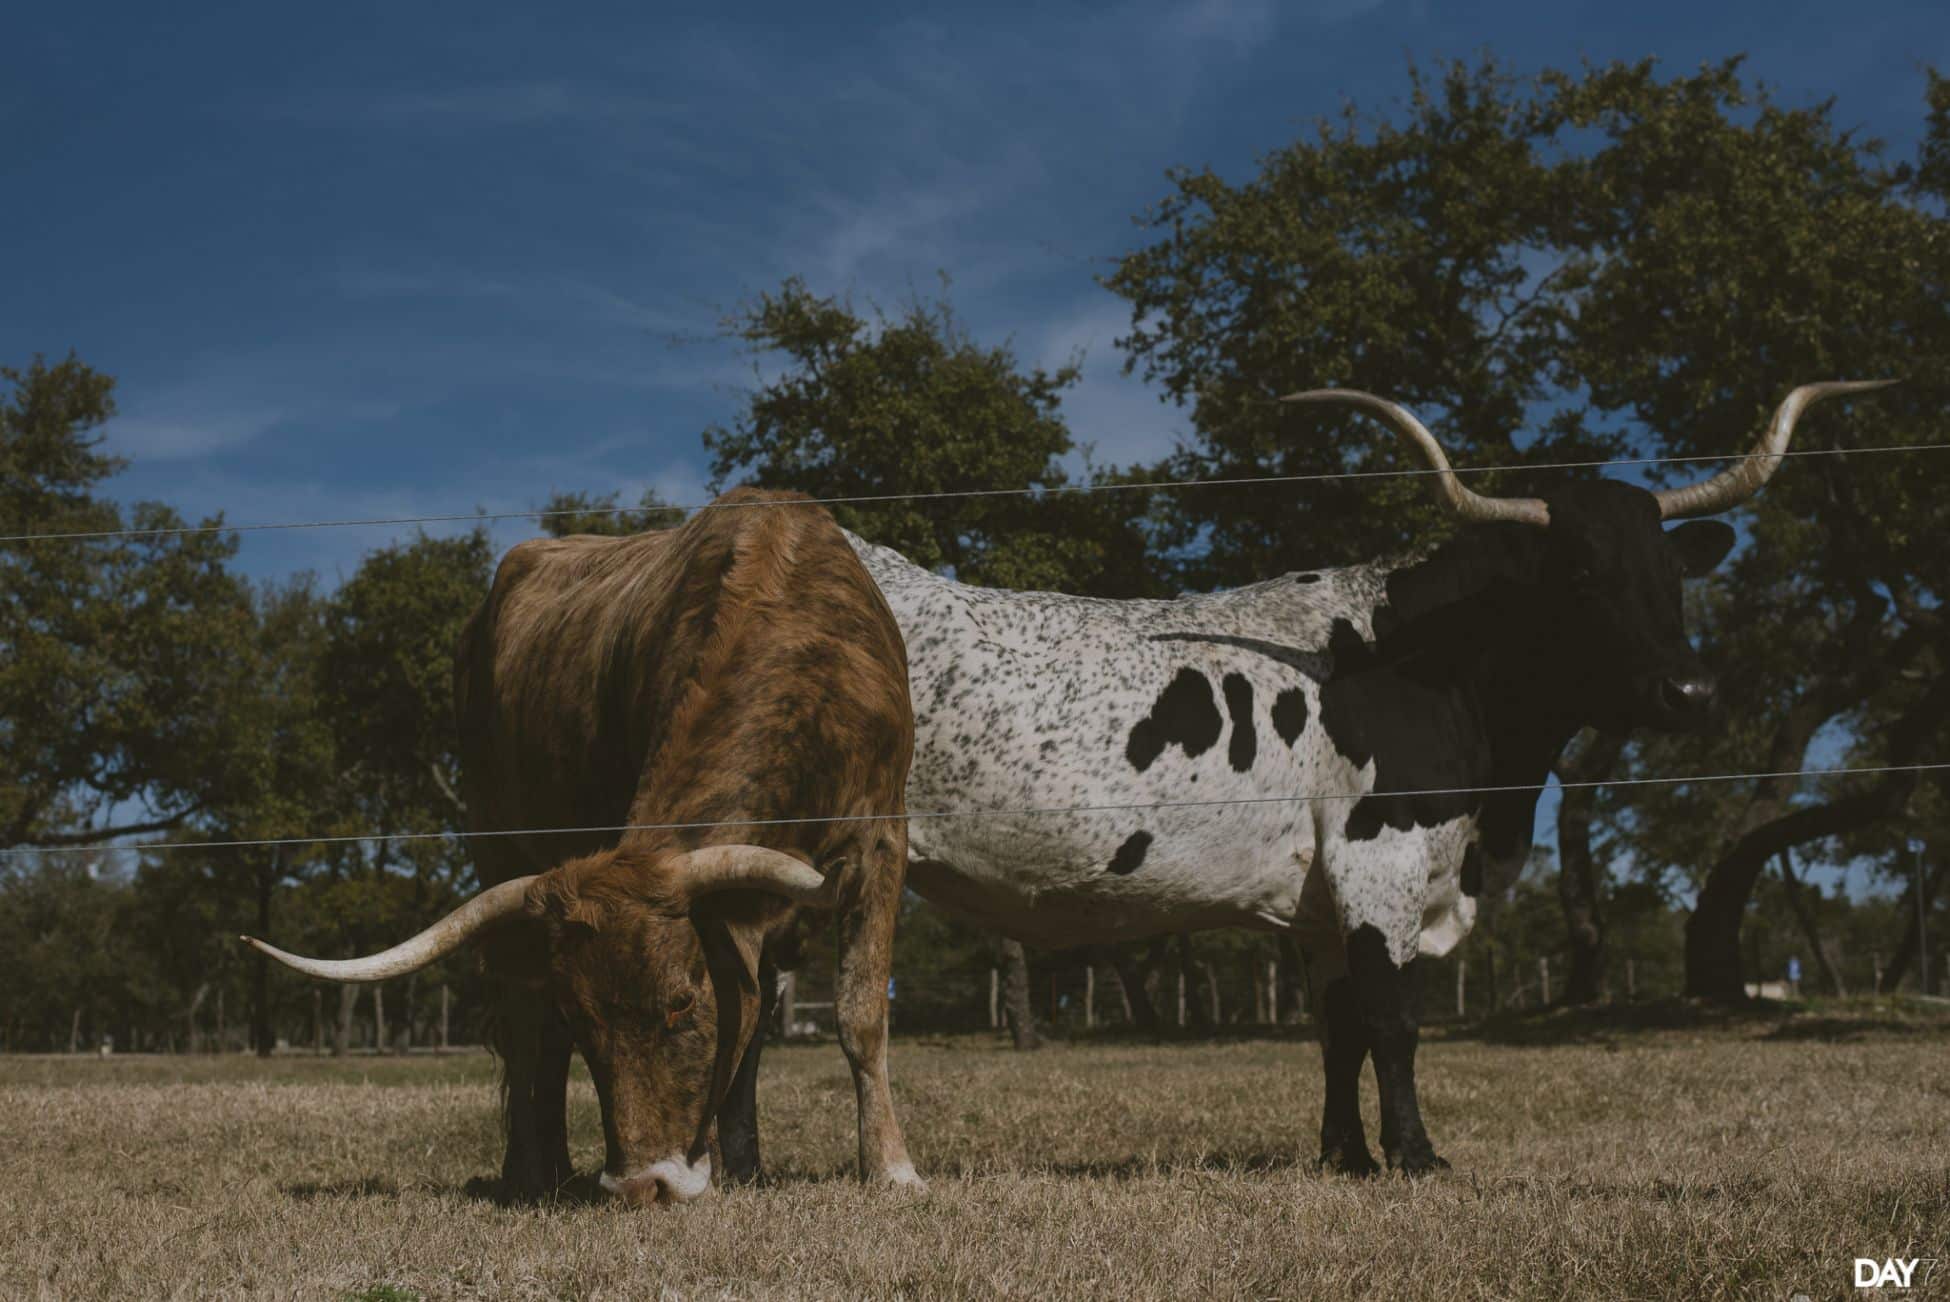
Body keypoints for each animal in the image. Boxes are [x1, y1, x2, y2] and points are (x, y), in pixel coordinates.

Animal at [245, 491, 920, 1208]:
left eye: (683, 1001)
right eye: (585, 1015)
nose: (641, 1184)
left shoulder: (881, 839)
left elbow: (845, 1014)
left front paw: (883, 1166)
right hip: (497, 850)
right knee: (524, 1021)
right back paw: (533, 1171)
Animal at [834, 378, 1872, 1177]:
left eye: (1671, 573)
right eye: (1579, 573)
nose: (1688, 690)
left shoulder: (1317, 899)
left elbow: (1337, 1032)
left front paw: (1348, 1155)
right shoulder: (1382, 855)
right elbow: (1393, 1021)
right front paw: (1415, 1155)